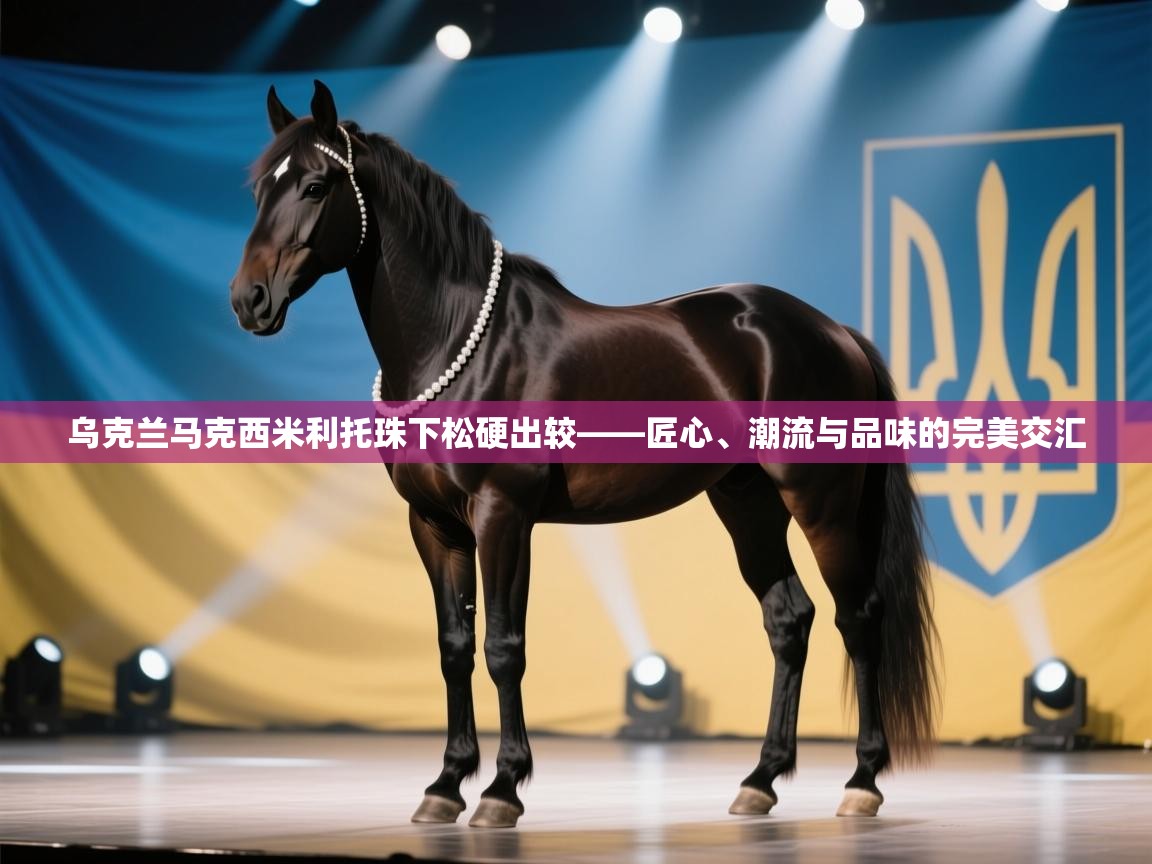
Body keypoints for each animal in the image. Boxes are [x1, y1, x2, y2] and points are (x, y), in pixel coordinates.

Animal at [229, 80, 938, 829]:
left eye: (315, 184)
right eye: (260, 190)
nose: (249, 300)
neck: (462, 342)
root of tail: (834, 329)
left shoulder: (502, 516)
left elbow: (503, 648)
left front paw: (502, 789)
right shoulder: (434, 526)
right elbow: (454, 649)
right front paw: (445, 785)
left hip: (820, 500)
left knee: (856, 617)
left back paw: (862, 781)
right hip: (747, 502)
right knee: (789, 621)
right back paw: (760, 780)